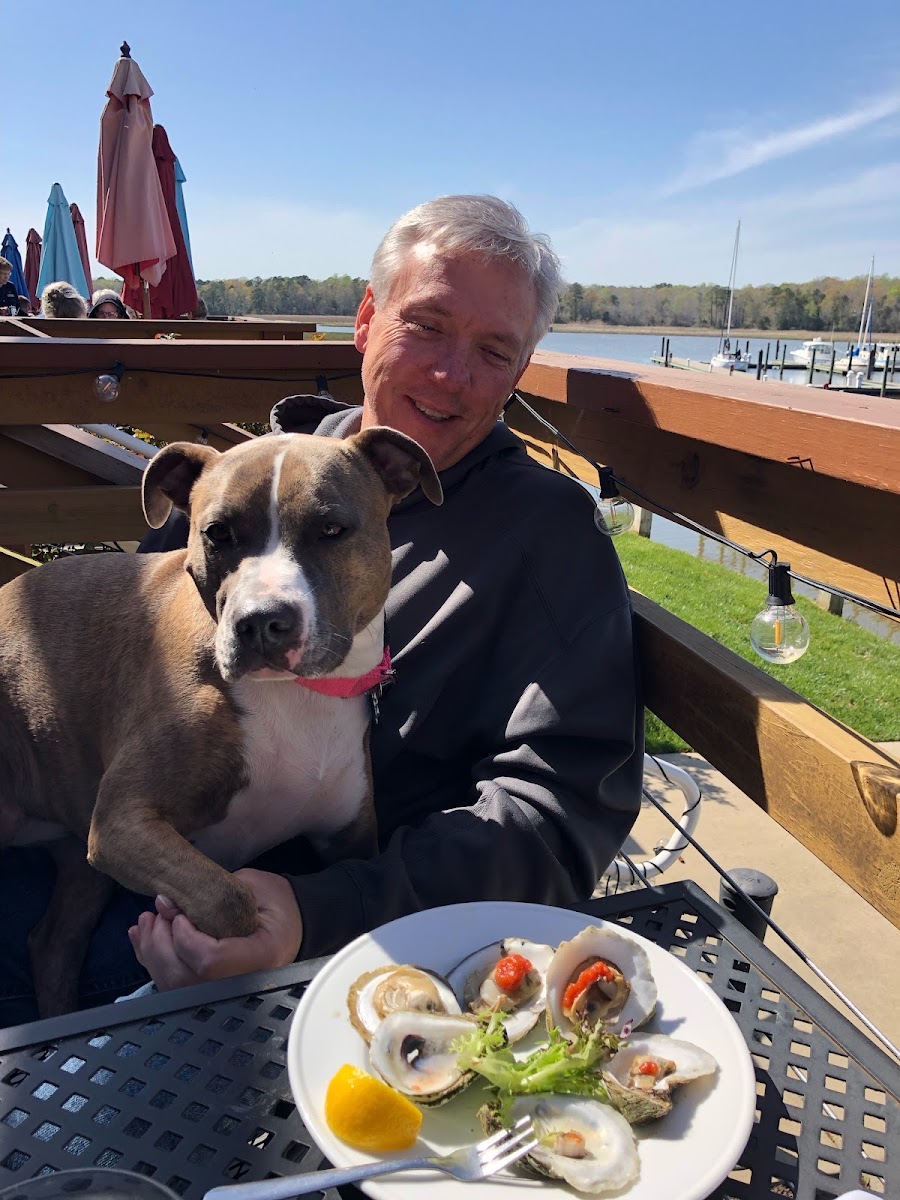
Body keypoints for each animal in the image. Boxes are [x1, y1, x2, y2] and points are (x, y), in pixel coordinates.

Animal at [0, 424, 444, 1012]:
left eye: (331, 528)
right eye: (217, 533)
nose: (261, 622)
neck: (292, 697)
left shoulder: (350, 839)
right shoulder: (123, 824)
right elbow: (233, 904)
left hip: (78, 864)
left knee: (50, 945)